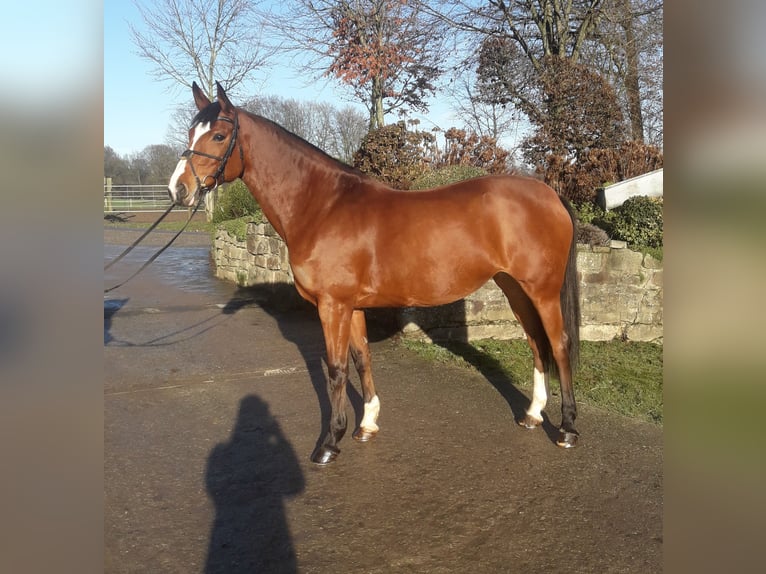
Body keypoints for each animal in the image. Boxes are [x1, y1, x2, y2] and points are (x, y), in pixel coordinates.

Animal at [168, 82, 584, 468]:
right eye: (190, 133)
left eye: (218, 136)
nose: (178, 189)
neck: (322, 206)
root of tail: (549, 194)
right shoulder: (351, 307)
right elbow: (362, 359)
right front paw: (366, 424)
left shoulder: (332, 306)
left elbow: (336, 370)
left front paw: (329, 443)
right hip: (514, 288)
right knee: (536, 343)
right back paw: (532, 415)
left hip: (543, 291)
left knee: (559, 344)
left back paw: (567, 429)